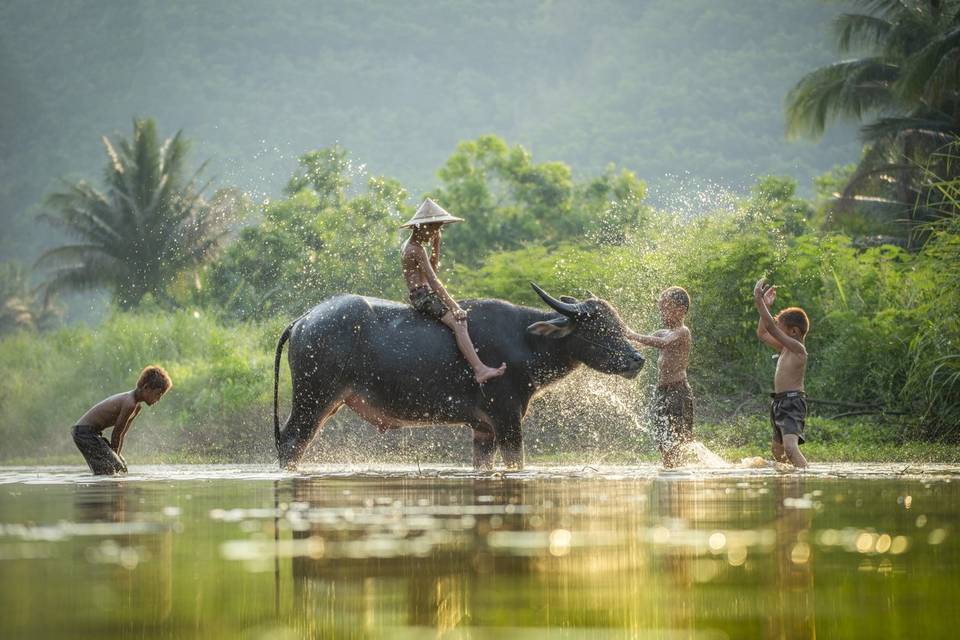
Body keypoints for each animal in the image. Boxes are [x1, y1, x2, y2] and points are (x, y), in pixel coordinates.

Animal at [274, 284, 640, 470]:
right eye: (598, 328)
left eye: (617, 323)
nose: (637, 359)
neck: (524, 341)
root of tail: (304, 319)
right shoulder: (507, 418)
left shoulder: (483, 429)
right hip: (312, 400)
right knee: (292, 442)